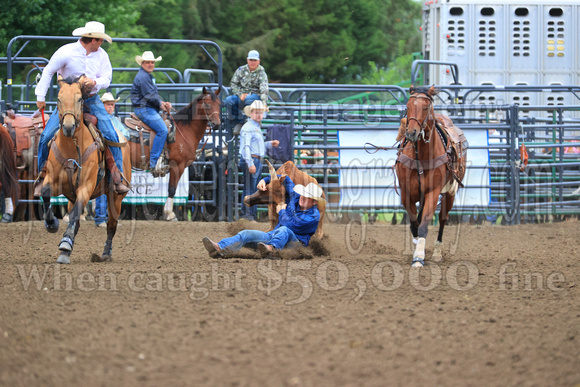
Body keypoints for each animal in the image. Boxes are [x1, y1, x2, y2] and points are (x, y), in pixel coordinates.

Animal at [39, 75, 132, 264]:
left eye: (80, 99)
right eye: (58, 99)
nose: (68, 127)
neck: (71, 148)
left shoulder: (86, 187)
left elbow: (76, 215)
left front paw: (65, 244)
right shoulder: (55, 182)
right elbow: (45, 193)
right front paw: (52, 224)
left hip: (116, 198)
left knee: (111, 226)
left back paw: (105, 253)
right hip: (71, 197)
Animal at [125, 88, 221, 221]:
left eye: (219, 104)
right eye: (207, 104)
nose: (217, 124)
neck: (184, 131)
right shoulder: (178, 165)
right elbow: (172, 189)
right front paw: (169, 214)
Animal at [394, 85, 466, 268]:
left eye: (426, 107)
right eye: (408, 107)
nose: (411, 133)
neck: (422, 156)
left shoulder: (433, 192)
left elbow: (424, 223)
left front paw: (419, 257)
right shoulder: (406, 193)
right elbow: (414, 223)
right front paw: (415, 250)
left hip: (450, 193)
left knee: (442, 218)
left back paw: (437, 253)